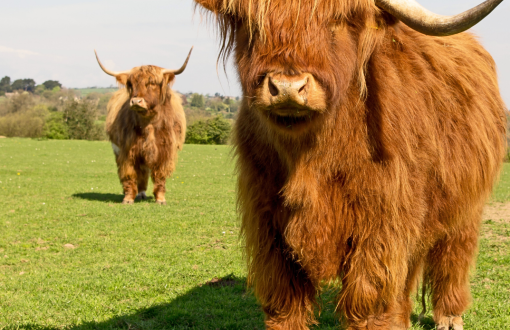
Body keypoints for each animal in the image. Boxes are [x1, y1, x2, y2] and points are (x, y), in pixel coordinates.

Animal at [94, 48, 192, 205]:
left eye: (152, 83)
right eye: (131, 83)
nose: (136, 101)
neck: (149, 124)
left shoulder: (165, 151)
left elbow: (160, 176)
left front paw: (160, 199)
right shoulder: (127, 151)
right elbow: (129, 175)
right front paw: (128, 198)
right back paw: (139, 193)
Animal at [195, 0, 506, 330]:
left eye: (336, 22)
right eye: (253, 26)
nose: (288, 87)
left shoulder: (381, 226)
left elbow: (369, 301)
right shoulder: (269, 224)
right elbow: (285, 303)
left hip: (465, 209)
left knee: (453, 257)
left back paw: (450, 316)